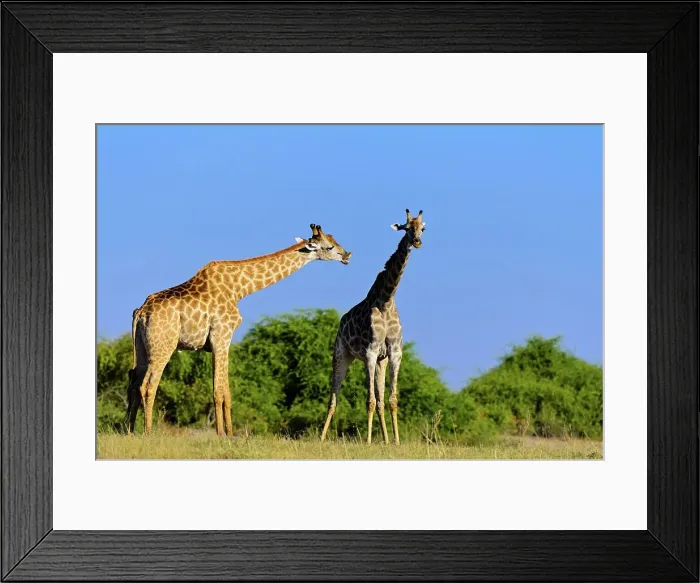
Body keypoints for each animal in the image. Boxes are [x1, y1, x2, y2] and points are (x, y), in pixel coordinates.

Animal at [125, 224, 352, 437]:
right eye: (329, 246)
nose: (347, 255)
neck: (239, 289)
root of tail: (141, 312)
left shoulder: (221, 341)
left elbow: (226, 392)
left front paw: (230, 433)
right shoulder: (221, 335)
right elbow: (218, 391)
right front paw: (221, 434)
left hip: (142, 348)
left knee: (134, 383)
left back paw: (129, 431)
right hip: (163, 347)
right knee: (148, 386)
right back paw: (148, 432)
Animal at [321, 209, 425, 445]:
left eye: (423, 228)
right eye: (407, 227)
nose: (417, 241)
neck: (386, 301)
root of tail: (341, 322)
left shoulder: (394, 353)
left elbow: (391, 400)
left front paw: (396, 441)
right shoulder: (370, 352)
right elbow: (368, 401)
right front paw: (368, 441)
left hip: (381, 362)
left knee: (379, 400)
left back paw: (385, 440)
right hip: (341, 354)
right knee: (333, 399)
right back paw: (321, 438)